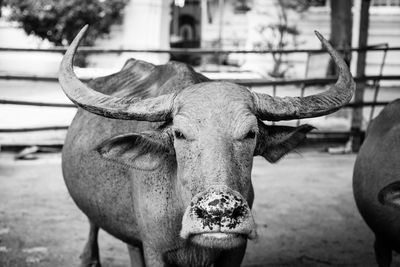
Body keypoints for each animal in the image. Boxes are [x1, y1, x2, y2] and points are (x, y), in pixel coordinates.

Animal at [58, 26, 354, 267]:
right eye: (179, 133)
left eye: (251, 133)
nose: (219, 211)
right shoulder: (155, 250)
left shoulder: (235, 251)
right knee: (93, 224)